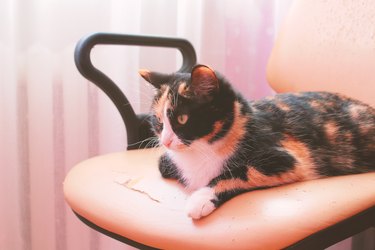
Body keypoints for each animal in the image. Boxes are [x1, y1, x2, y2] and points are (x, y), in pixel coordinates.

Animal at [140, 64, 375, 219]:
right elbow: (163, 164)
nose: (166, 141)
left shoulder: (288, 158)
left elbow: (241, 172)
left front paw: (201, 198)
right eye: (158, 120)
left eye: (182, 119)